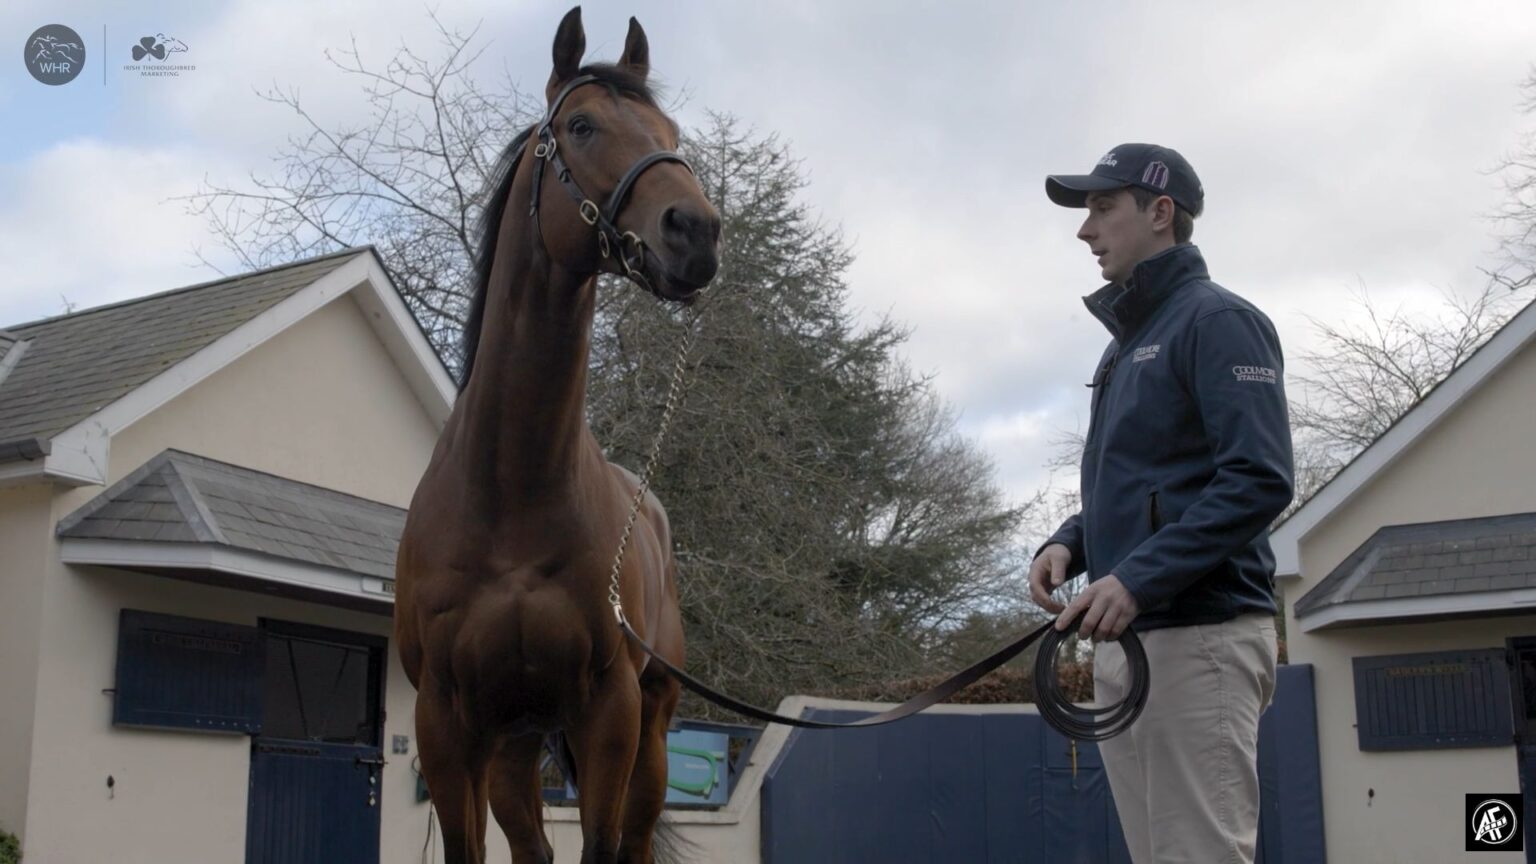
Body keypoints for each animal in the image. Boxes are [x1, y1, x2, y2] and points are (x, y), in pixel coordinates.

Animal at [399, 8, 721, 860]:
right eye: (581, 126)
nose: (696, 231)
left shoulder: (608, 711)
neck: (512, 493)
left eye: (671, 131)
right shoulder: (446, 721)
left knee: (632, 842)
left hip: (653, 729)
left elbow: (600, 849)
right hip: (515, 744)